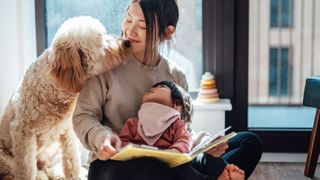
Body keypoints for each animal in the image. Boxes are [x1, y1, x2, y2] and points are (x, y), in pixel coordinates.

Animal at [0, 16, 130, 179]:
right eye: (100, 38)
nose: (126, 42)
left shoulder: (67, 131)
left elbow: (71, 159)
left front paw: (75, 175)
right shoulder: (23, 134)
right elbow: (26, 169)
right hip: (6, 160)